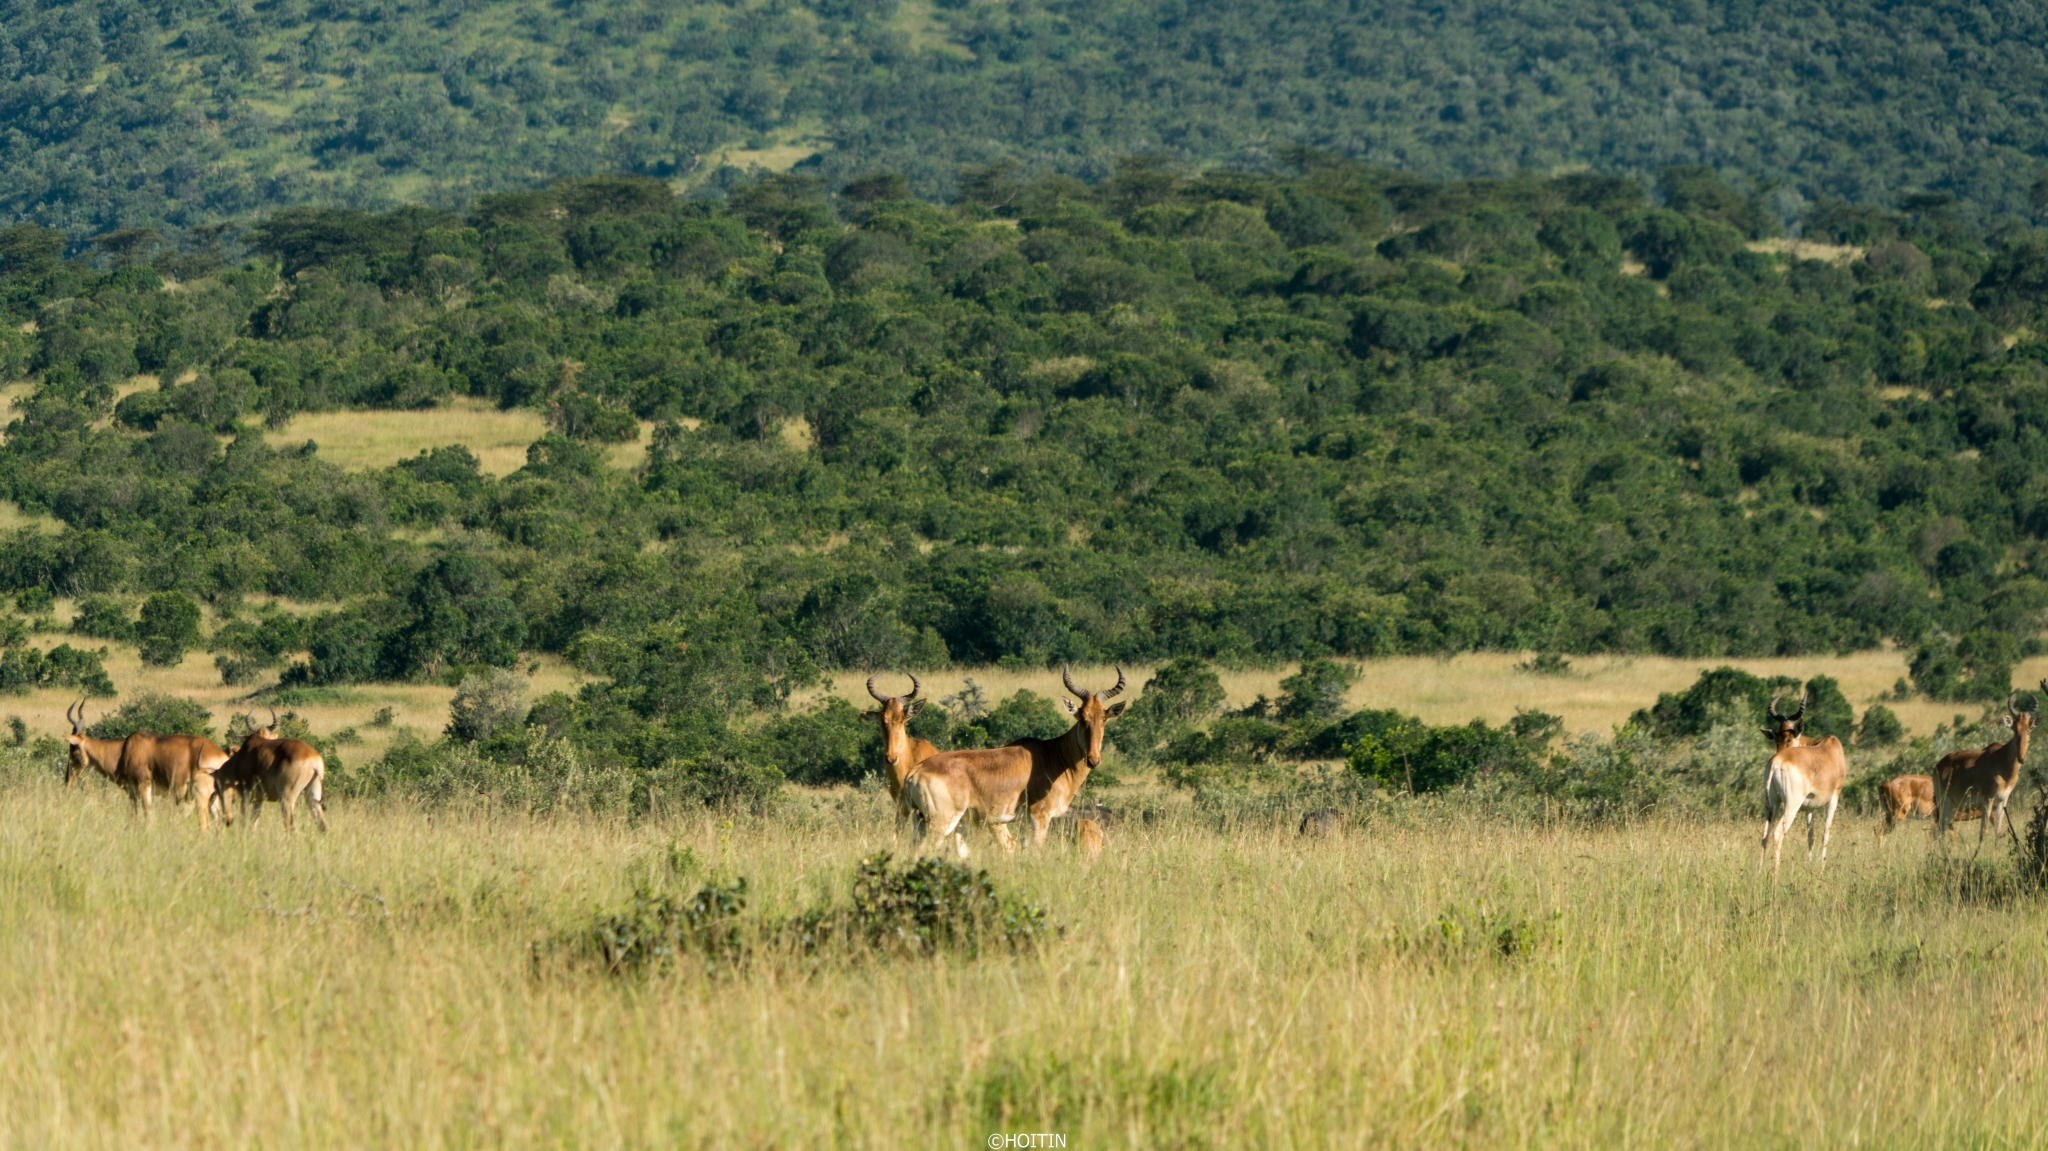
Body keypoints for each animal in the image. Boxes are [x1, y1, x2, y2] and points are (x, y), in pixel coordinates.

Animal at [905, 663, 1130, 851]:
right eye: (1082, 717)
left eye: (1104, 718)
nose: (1093, 760)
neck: (1051, 755)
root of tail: (914, 773)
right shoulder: (1039, 817)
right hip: (941, 823)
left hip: (920, 821)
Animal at [1925, 684, 2039, 847]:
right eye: (2014, 729)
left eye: (2029, 729)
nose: (2021, 758)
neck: (2001, 761)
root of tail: (1938, 765)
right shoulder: (1987, 799)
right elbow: (1983, 830)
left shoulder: (2002, 801)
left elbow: (1998, 831)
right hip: (1944, 801)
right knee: (1940, 829)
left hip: (1952, 804)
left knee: (1941, 828)